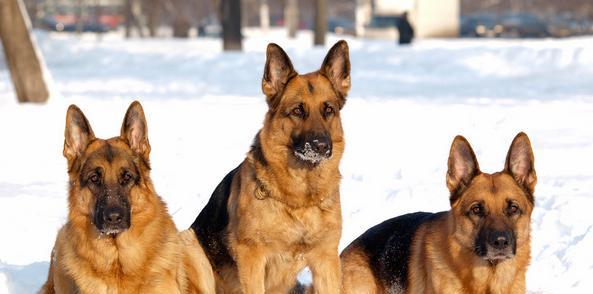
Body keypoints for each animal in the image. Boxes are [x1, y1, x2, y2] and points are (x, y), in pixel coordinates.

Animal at [190, 40, 350, 292]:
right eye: (297, 111)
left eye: (328, 110)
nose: (322, 146)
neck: (300, 199)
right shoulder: (252, 258)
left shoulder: (326, 260)